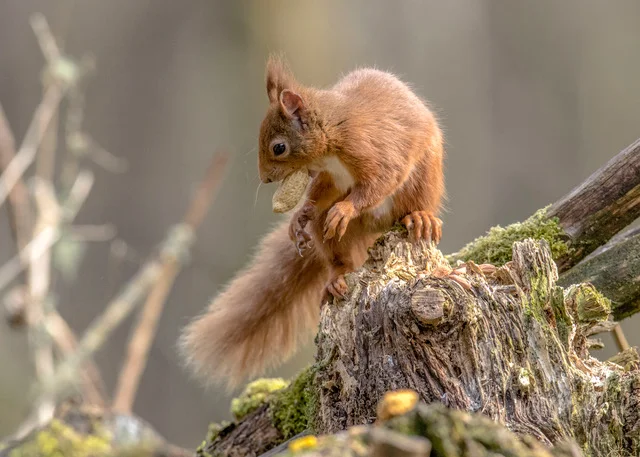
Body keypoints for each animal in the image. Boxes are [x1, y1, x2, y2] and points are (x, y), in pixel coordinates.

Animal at [180, 56, 445, 388]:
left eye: (279, 147)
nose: (265, 179)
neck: (332, 134)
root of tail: (377, 227)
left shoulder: (374, 150)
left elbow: (379, 182)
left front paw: (344, 209)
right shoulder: (330, 176)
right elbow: (320, 194)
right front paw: (299, 217)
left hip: (423, 178)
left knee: (415, 202)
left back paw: (420, 217)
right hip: (330, 236)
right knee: (335, 253)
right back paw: (335, 278)